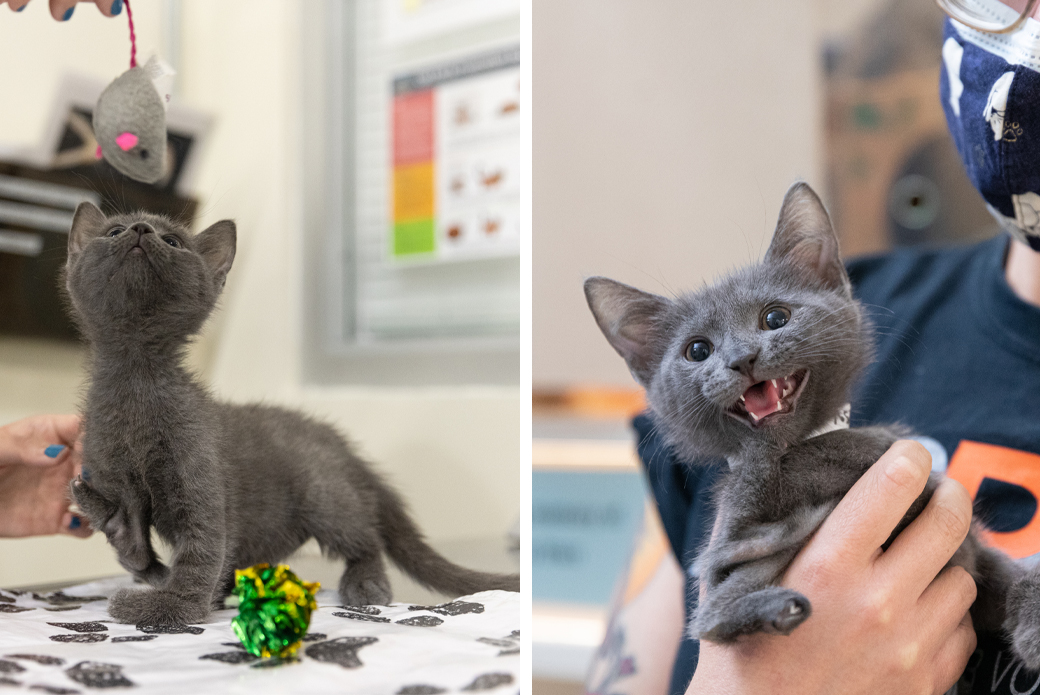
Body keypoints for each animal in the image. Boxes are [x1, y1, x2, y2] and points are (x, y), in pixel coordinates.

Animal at [62, 199, 517, 624]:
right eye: (113, 231)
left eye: (172, 241)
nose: (140, 229)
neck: (134, 375)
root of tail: (340, 444)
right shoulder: (112, 475)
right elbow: (138, 550)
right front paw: (119, 531)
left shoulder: (199, 476)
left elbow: (202, 548)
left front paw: (172, 607)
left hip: (324, 494)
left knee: (364, 538)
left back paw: (366, 582)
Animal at [586, 184, 1040, 661]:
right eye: (697, 350)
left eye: (775, 318)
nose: (741, 358)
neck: (801, 450)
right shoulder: (731, 538)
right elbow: (712, 599)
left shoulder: (965, 544)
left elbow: (999, 569)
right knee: (709, 619)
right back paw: (776, 608)